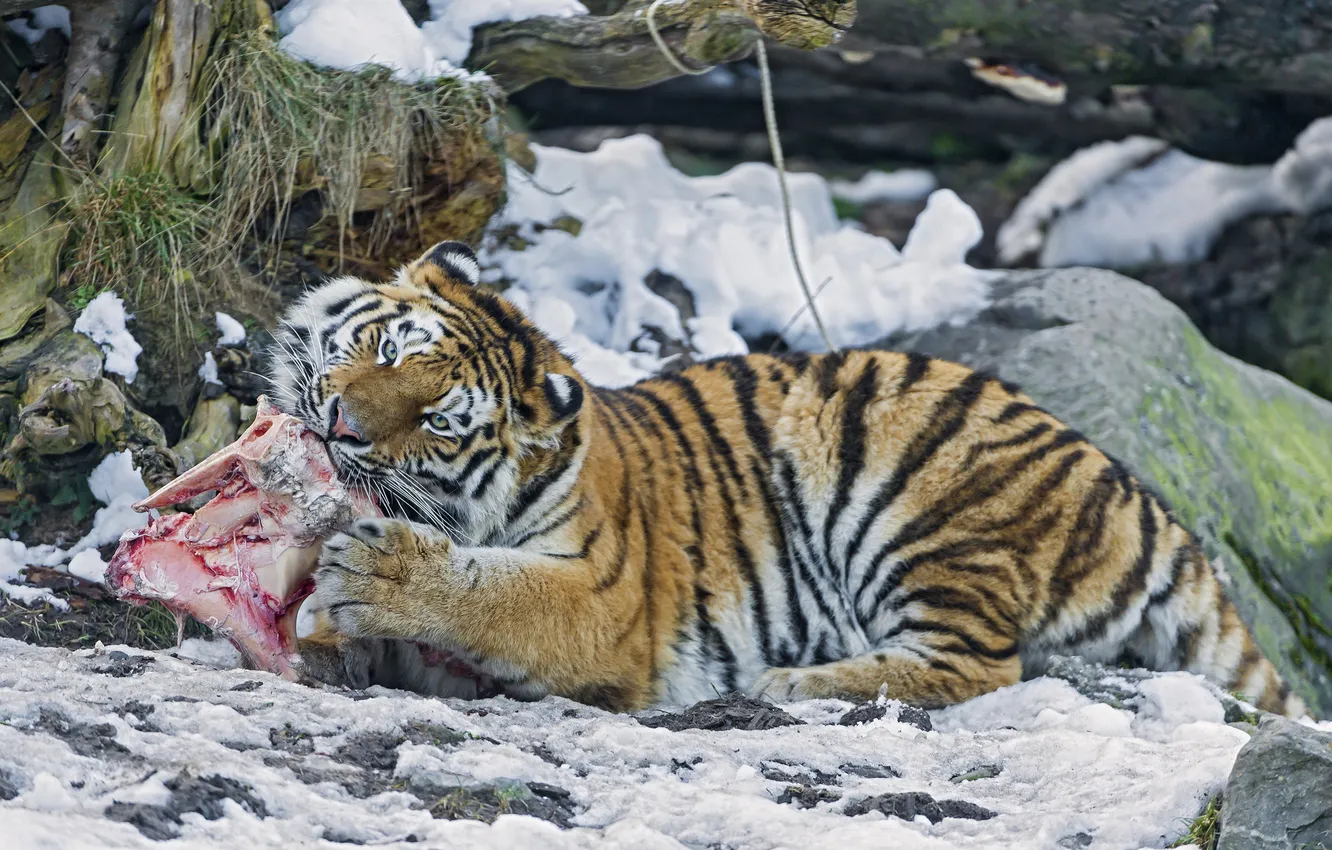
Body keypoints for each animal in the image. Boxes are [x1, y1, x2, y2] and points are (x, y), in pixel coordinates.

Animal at [270, 239, 1307, 718]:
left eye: (438, 420)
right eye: (381, 349)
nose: (339, 424)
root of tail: (1120, 478)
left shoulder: (607, 604)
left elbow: (498, 596)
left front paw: (379, 574)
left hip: (915, 510)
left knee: (979, 665)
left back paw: (790, 682)